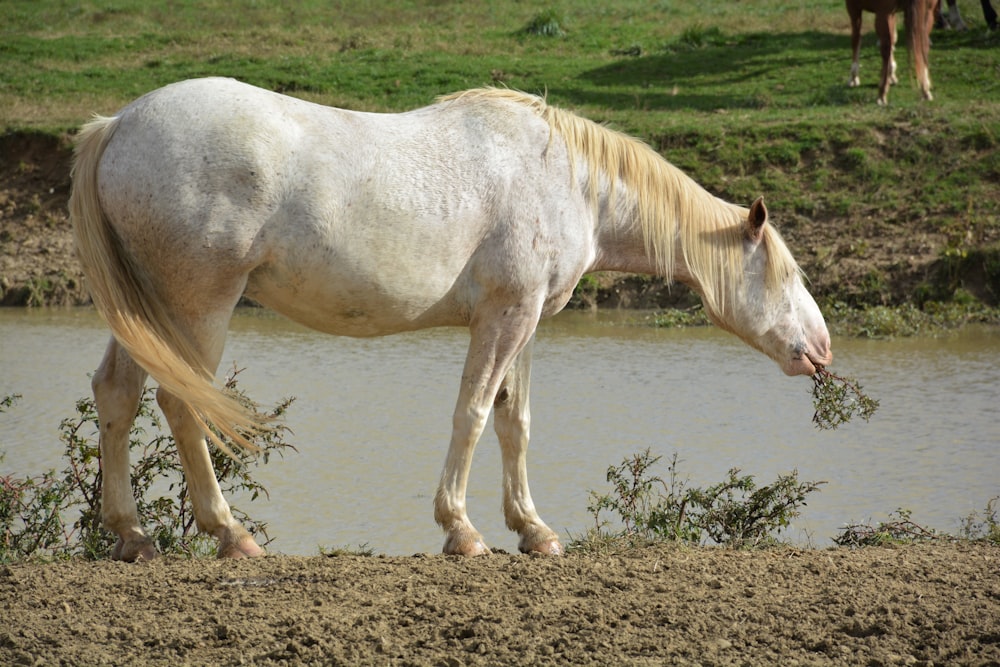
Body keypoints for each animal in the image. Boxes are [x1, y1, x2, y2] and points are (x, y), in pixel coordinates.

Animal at [70, 77, 832, 560]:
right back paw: (230, 534)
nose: (822, 350)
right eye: (790, 274)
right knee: (180, 403)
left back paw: (132, 536)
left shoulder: (525, 322)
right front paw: (462, 530)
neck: (569, 179)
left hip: (145, 311)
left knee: (118, 395)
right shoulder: (505, 316)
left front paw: (534, 530)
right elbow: (472, 414)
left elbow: (513, 422)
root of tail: (119, 125)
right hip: (198, 306)